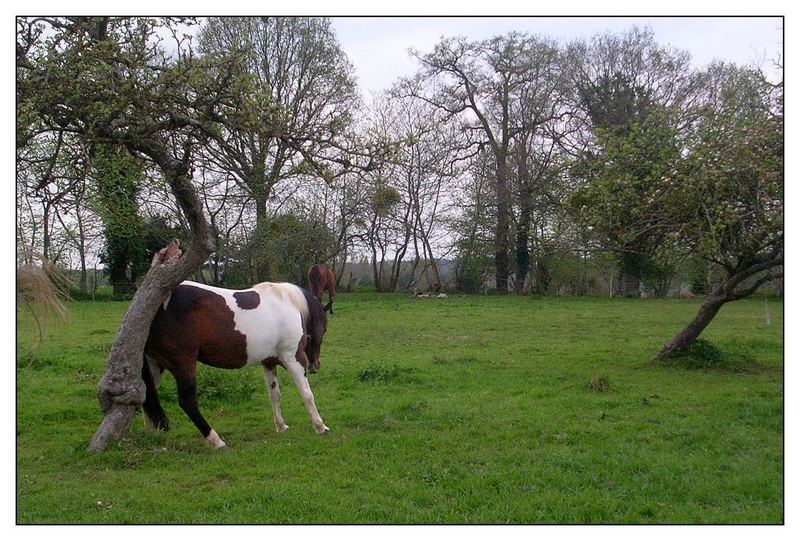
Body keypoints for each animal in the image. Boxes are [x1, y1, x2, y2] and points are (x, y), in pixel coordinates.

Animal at [142, 278, 330, 448]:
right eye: (325, 328)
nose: (315, 365)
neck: (287, 303)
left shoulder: (268, 363)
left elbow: (274, 395)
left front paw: (281, 426)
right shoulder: (294, 359)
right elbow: (307, 394)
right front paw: (320, 426)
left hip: (156, 365)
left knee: (148, 397)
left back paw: (154, 437)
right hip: (184, 366)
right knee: (187, 402)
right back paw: (216, 441)